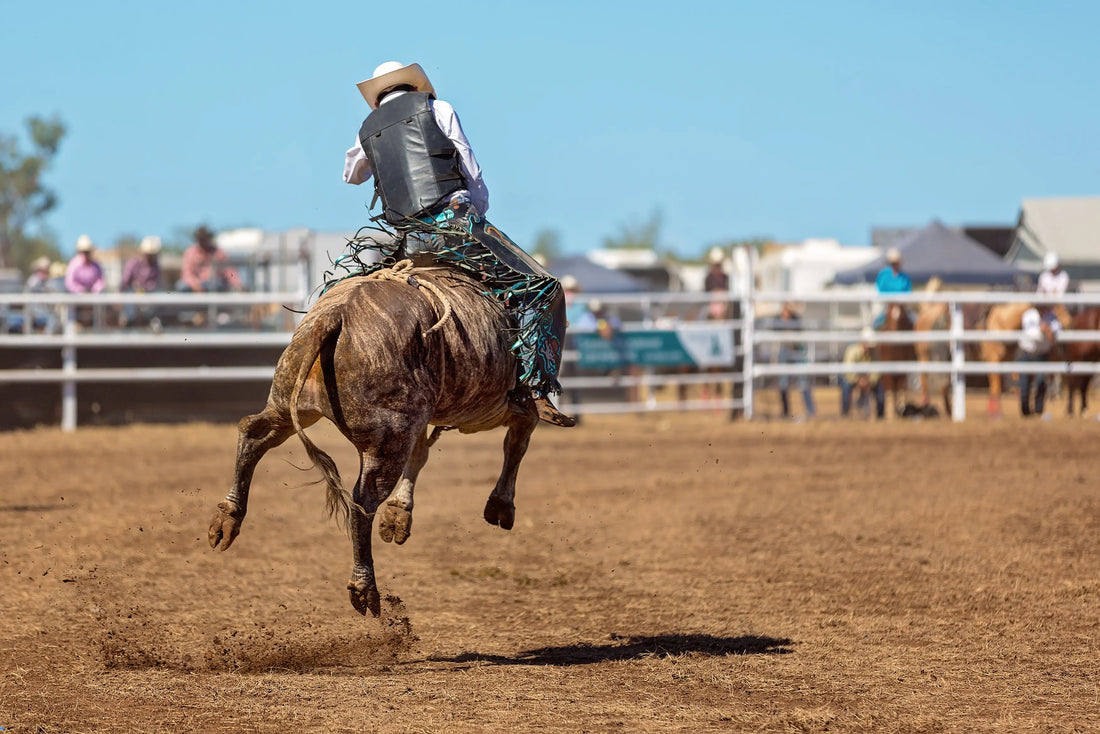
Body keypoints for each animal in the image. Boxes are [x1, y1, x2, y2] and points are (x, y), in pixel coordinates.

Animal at [205, 255, 554, 616]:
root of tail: (334, 316)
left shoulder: (424, 417)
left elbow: (421, 455)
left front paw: (399, 515)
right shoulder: (492, 407)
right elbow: (518, 437)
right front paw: (500, 505)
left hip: (290, 400)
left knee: (255, 433)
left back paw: (227, 519)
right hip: (389, 437)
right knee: (364, 498)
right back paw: (365, 586)